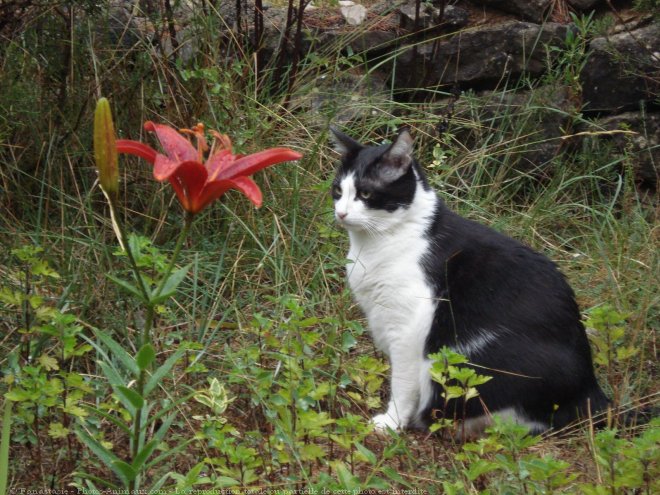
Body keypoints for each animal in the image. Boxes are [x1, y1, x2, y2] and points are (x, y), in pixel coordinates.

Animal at [328, 128, 608, 434]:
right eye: (338, 191)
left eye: (366, 193)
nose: (341, 213)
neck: (377, 242)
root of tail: (592, 390)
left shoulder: (408, 326)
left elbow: (402, 382)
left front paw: (392, 422)